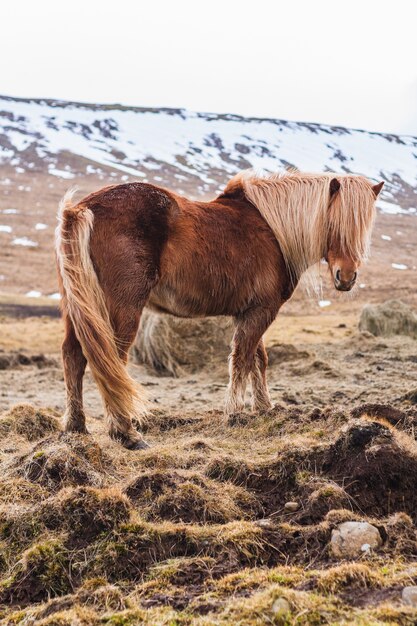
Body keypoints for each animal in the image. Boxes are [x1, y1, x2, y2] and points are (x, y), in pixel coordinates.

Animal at [56, 168, 384, 446]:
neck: (274, 231)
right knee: (112, 361)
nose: (346, 277)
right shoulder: (262, 310)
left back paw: (76, 426)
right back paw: (126, 433)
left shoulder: (251, 311)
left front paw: (264, 408)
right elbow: (242, 359)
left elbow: (258, 359)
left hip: (79, 309)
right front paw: (236, 414)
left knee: (73, 356)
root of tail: (80, 209)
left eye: (364, 227)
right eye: (335, 222)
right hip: (122, 309)